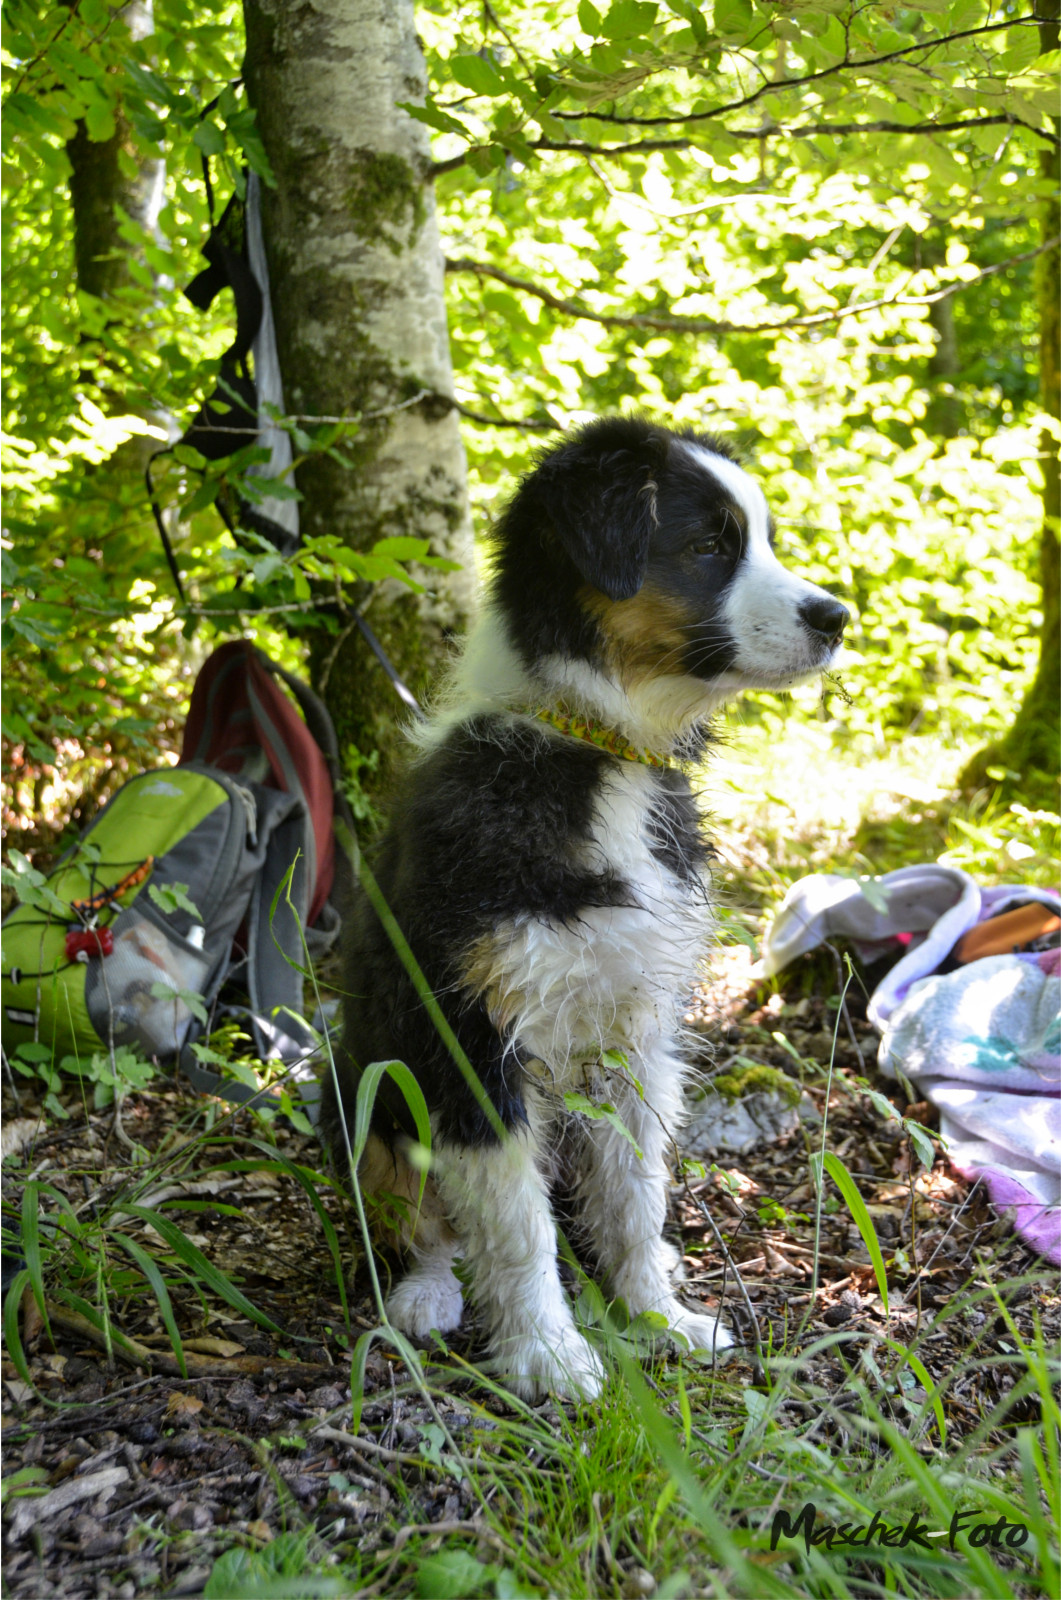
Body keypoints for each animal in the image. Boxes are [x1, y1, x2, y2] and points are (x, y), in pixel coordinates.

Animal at [320, 416, 851, 1402]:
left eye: (760, 537)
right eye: (708, 545)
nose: (837, 618)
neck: (600, 753)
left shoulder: (636, 1034)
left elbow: (634, 1196)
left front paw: (657, 1316)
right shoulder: (469, 1034)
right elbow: (512, 1222)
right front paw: (548, 1353)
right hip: (359, 1088)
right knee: (419, 1219)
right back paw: (426, 1294)